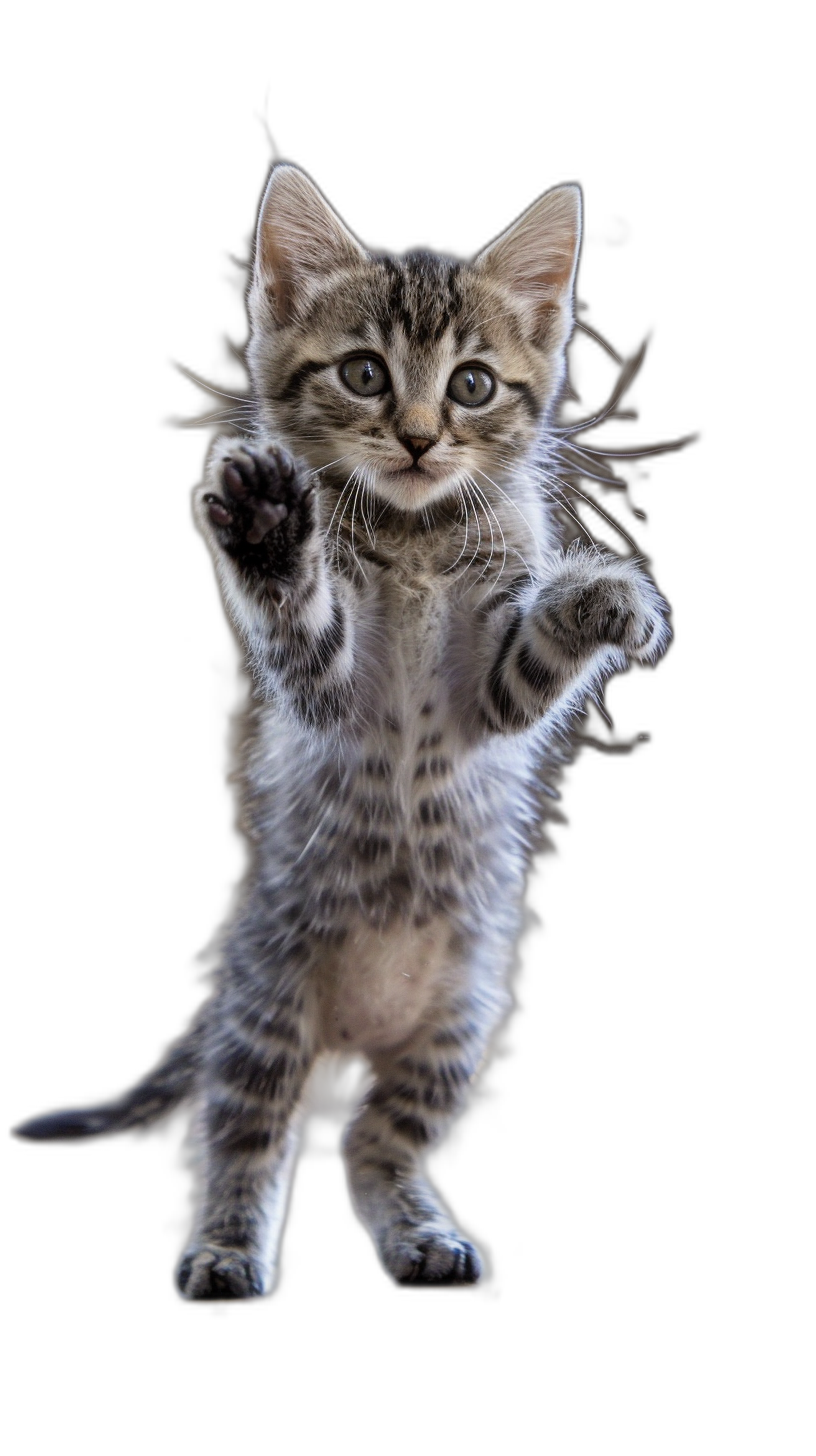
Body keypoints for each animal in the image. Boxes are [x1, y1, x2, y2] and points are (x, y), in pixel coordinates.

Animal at [12, 165, 670, 1304]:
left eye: (472, 386)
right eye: (365, 374)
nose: (416, 436)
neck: (413, 539)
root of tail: (352, 1035)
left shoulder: (493, 688)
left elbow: (531, 662)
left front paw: (604, 600)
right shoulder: (323, 690)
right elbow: (303, 629)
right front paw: (275, 533)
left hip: (457, 1023)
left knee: (374, 1140)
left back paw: (419, 1234)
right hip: (266, 1013)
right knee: (244, 1140)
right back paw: (225, 1250)